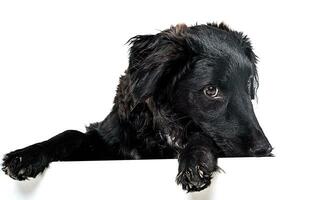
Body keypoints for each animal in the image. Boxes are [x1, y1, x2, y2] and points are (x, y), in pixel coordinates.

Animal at [1, 23, 272, 192]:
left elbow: (201, 136)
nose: (265, 150)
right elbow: (71, 134)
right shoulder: (107, 141)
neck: (164, 126)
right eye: (211, 90)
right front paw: (25, 155)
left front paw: (196, 161)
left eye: (249, 85)